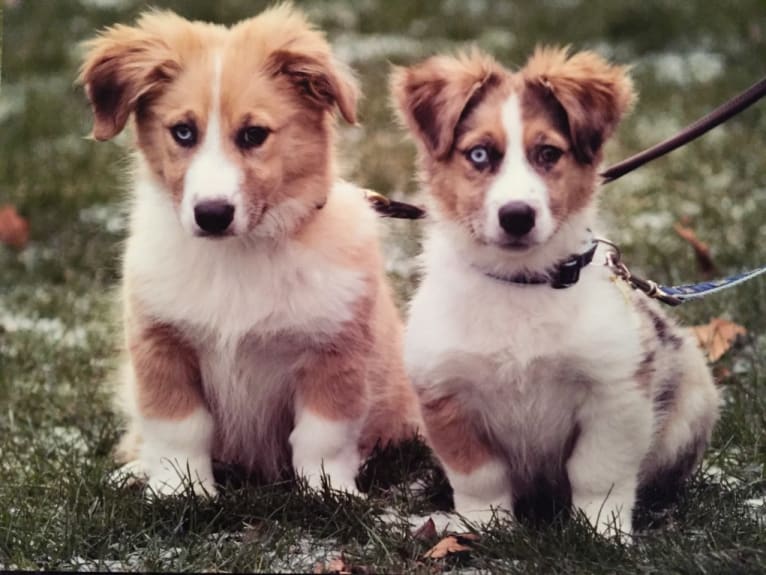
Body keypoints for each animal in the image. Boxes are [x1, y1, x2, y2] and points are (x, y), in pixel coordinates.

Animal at [78, 4, 420, 498]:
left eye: (254, 134)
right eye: (183, 132)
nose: (212, 214)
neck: (238, 255)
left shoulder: (334, 351)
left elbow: (321, 436)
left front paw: (328, 493)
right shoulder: (160, 343)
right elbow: (178, 426)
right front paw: (181, 491)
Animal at [392, 48, 724, 536]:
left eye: (548, 153)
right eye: (479, 154)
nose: (517, 216)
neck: (520, 285)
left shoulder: (613, 391)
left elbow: (597, 472)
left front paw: (603, 533)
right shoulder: (446, 395)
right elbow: (480, 478)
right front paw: (487, 530)